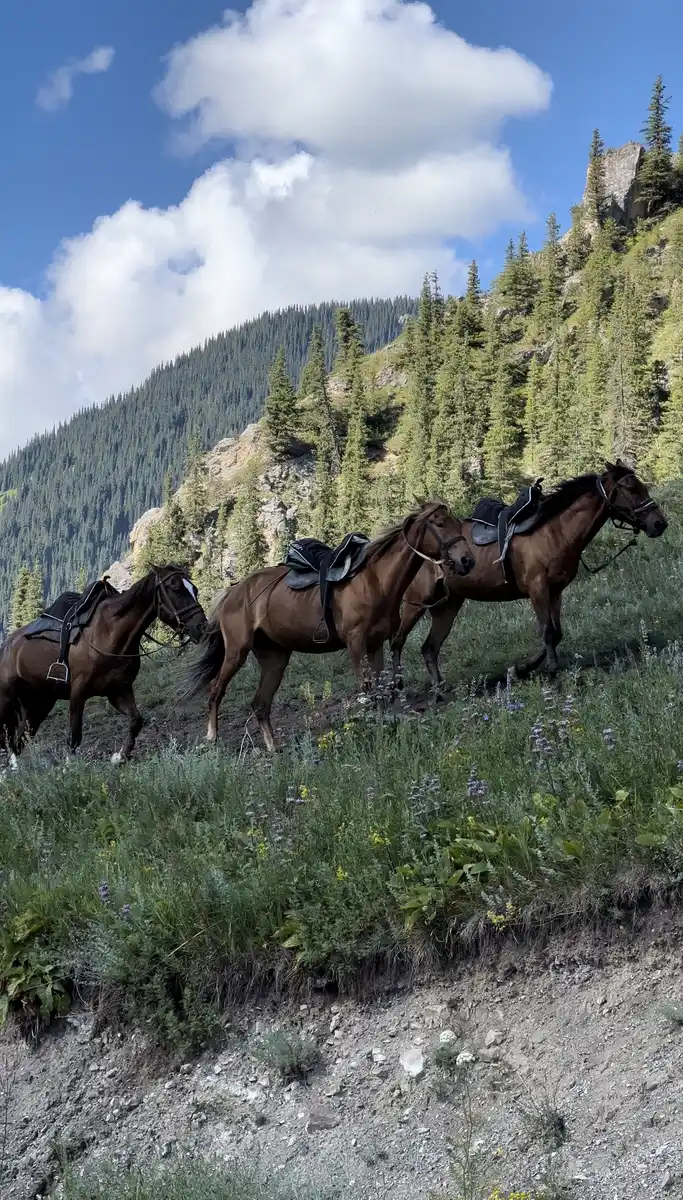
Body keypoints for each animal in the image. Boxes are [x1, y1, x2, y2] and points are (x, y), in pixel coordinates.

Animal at [0, 565, 207, 760]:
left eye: (195, 589)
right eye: (176, 589)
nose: (201, 627)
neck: (109, 633)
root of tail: (6, 646)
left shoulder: (119, 690)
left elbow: (136, 721)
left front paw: (120, 756)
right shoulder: (78, 693)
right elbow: (74, 736)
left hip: (39, 703)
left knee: (19, 739)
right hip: (9, 701)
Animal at [188, 501, 476, 751]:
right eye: (439, 523)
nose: (467, 561)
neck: (376, 580)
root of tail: (232, 592)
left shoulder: (376, 644)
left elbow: (382, 690)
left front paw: (385, 724)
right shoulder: (356, 643)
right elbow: (367, 689)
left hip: (274, 657)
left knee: (260, 703)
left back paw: (272, 748)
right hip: (237, 652)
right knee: (216, 691)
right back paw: (212, 739)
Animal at [391, 461, 668, 689]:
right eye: (631, 489)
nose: (659, 523)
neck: (554, 531)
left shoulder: (555, 592)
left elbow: (556, 633)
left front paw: (522, 668)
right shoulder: (538, 589)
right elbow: (547, 631)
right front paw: (550, 670)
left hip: (448, 605)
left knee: (430, 647)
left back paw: (439, 689)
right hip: (418, 602)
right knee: (398, 641)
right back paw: (396, 686)